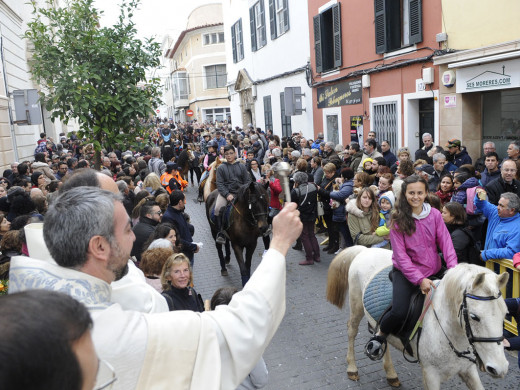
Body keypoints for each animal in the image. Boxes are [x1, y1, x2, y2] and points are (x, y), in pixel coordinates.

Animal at [328, 247, 510, 390]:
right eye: (474, 316)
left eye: (505, 314)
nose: (499, 368)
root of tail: (365, 250)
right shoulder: (430, 375)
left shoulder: (468, 370)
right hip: (356, 305)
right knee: (352, 330)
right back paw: (352, 368)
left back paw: (391, 374)